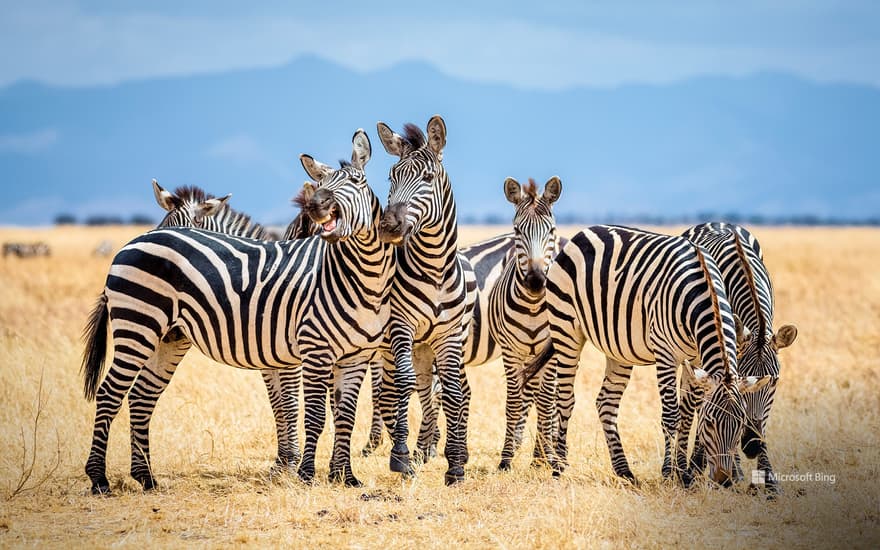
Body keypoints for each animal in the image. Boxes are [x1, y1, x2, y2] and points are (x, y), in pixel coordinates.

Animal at [151, 180, 306, 474]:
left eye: (190, 228)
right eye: (163, 224)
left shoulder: (290, 359)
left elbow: (291, 403)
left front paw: (292, 463)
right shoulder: (268, 363)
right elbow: (277, 405)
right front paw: (281, 462)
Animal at [374, 114, 474, 486]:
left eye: (428, 178)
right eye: (391, 177)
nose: (388, 227)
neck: (434, 270)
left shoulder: (448, 336)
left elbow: (454, 392)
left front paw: (456, 464)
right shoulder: (400, 326)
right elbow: (403, 386)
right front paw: (400, 457)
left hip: (429, 347)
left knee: (435, 392)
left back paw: (432, 449)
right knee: (406, 390)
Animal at [524, 227, 768, 488]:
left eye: (741, 424)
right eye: (710, 423)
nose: (724, 481)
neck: (704, 292)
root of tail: (583, 233)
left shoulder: (695, 360)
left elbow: (686, 414)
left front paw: (684, 474)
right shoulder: (665, 354)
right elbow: (671, 415)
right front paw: (670, 473)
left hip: (618, 348)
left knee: (606, 403)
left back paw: (624, 471)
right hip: (566, 330)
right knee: (565, 399)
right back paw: (559, 467)